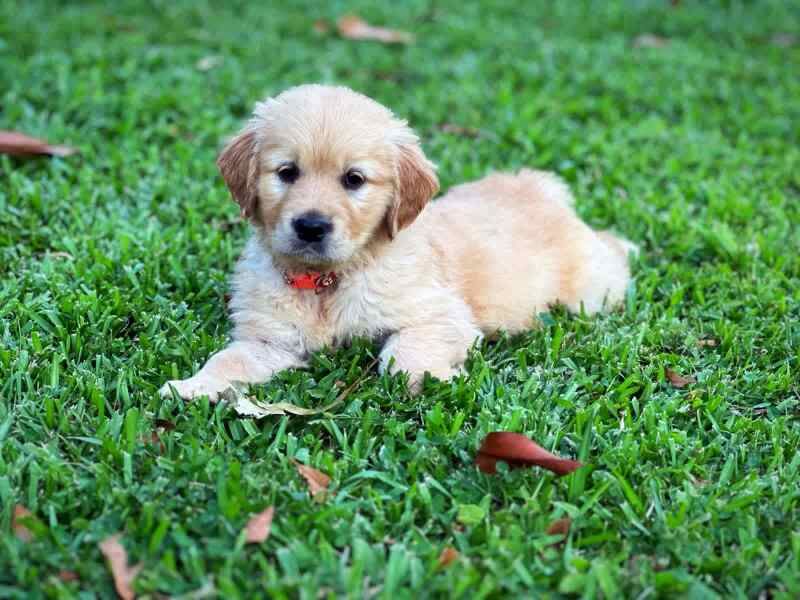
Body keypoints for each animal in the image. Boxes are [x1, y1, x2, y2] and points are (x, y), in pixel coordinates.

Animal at [161, 82, 636, 400]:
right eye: (287, 172)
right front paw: (192, 386)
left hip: (591, 290)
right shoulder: (269, 340)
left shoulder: (440, 316)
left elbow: (401, 356)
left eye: (354, 179)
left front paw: (436, 379)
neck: (328, 283)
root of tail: (537, 186)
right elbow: (229, 359)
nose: (311, 226)